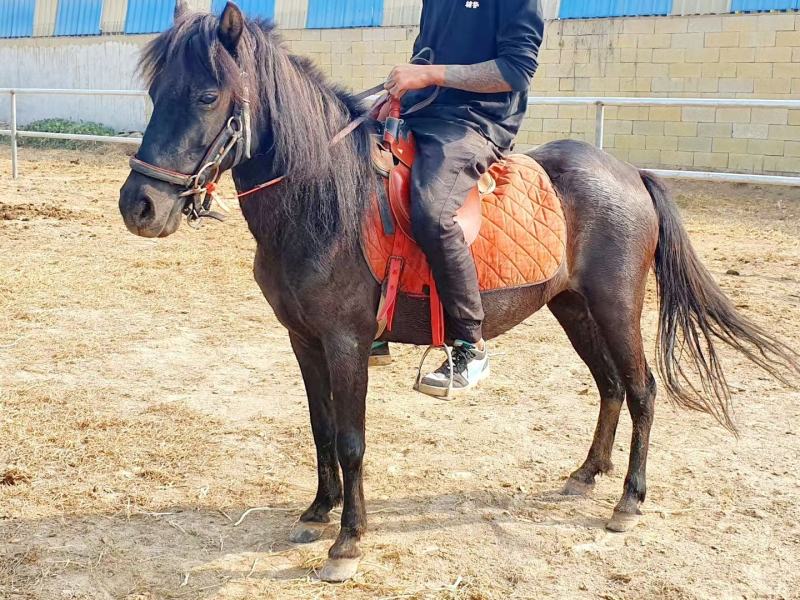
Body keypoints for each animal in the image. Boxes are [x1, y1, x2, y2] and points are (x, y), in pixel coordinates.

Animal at [118, 1, 799, 582]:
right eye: (155, 92)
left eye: (207, 95)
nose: (139, 206)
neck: (324, 198)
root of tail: (628, 172)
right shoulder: (303, 340)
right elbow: (320, 427)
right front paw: (317, 512)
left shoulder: (345, 341)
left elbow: (351, 439)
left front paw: (348, 542)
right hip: (572, 307)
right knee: (609, 386)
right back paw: (586, 474)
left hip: (615, 304)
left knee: (642, 389)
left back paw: (628, 501)